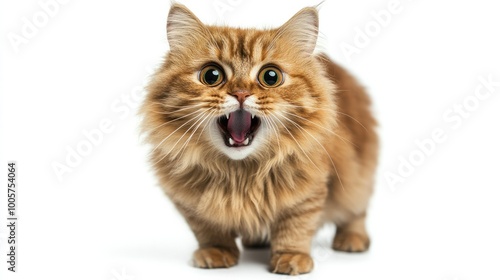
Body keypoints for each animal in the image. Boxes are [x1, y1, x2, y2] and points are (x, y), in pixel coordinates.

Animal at [139, 2, 376, 276]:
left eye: (270, 77)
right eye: (211, 75)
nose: (241, 93)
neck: (240, 173)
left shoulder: (309, 191)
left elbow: (295, 227)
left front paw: (291, 257)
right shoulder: (188, 202)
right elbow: (208, 230)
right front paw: (216, 252)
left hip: (358, 176)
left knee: (356, 211)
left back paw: (352, 240)